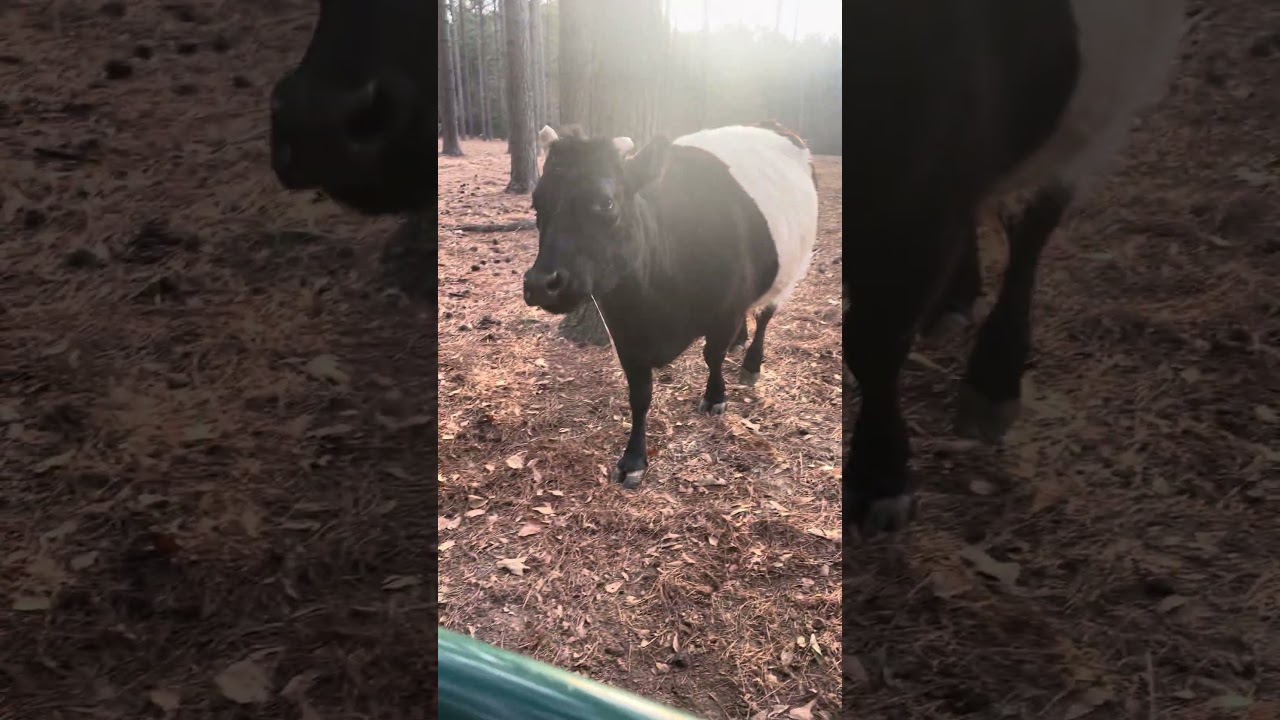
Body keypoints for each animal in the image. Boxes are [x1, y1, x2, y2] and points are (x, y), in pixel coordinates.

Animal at [523, 123, 819, 490]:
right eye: (536, 202)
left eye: (606, 202)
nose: (540, 283)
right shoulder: (625, 335)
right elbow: (640, 395)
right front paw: (633, 459)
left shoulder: (724, 310)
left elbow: (712, 355)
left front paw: (715, 396)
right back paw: (740, 341)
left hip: (792, 268)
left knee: (766, 314)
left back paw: (751, 362)